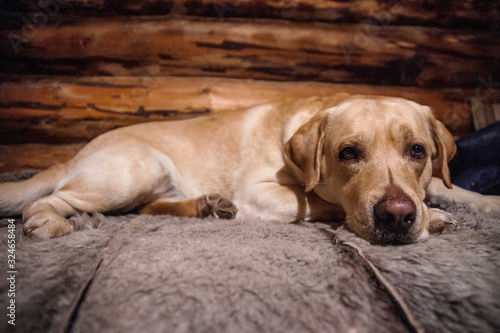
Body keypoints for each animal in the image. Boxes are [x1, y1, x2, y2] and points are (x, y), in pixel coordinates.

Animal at [0, 94, 498, 244]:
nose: (398, 215)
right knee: (52, 198)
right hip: (135, 171)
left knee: (146, 209)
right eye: (348, 153)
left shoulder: (431, 177)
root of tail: (77, 152)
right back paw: (47, 221)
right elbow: (322, 203)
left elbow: (453, 188)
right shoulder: (262, 192)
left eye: (418, 151)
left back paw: (206, 206)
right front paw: (433, 217)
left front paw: (484, 201)